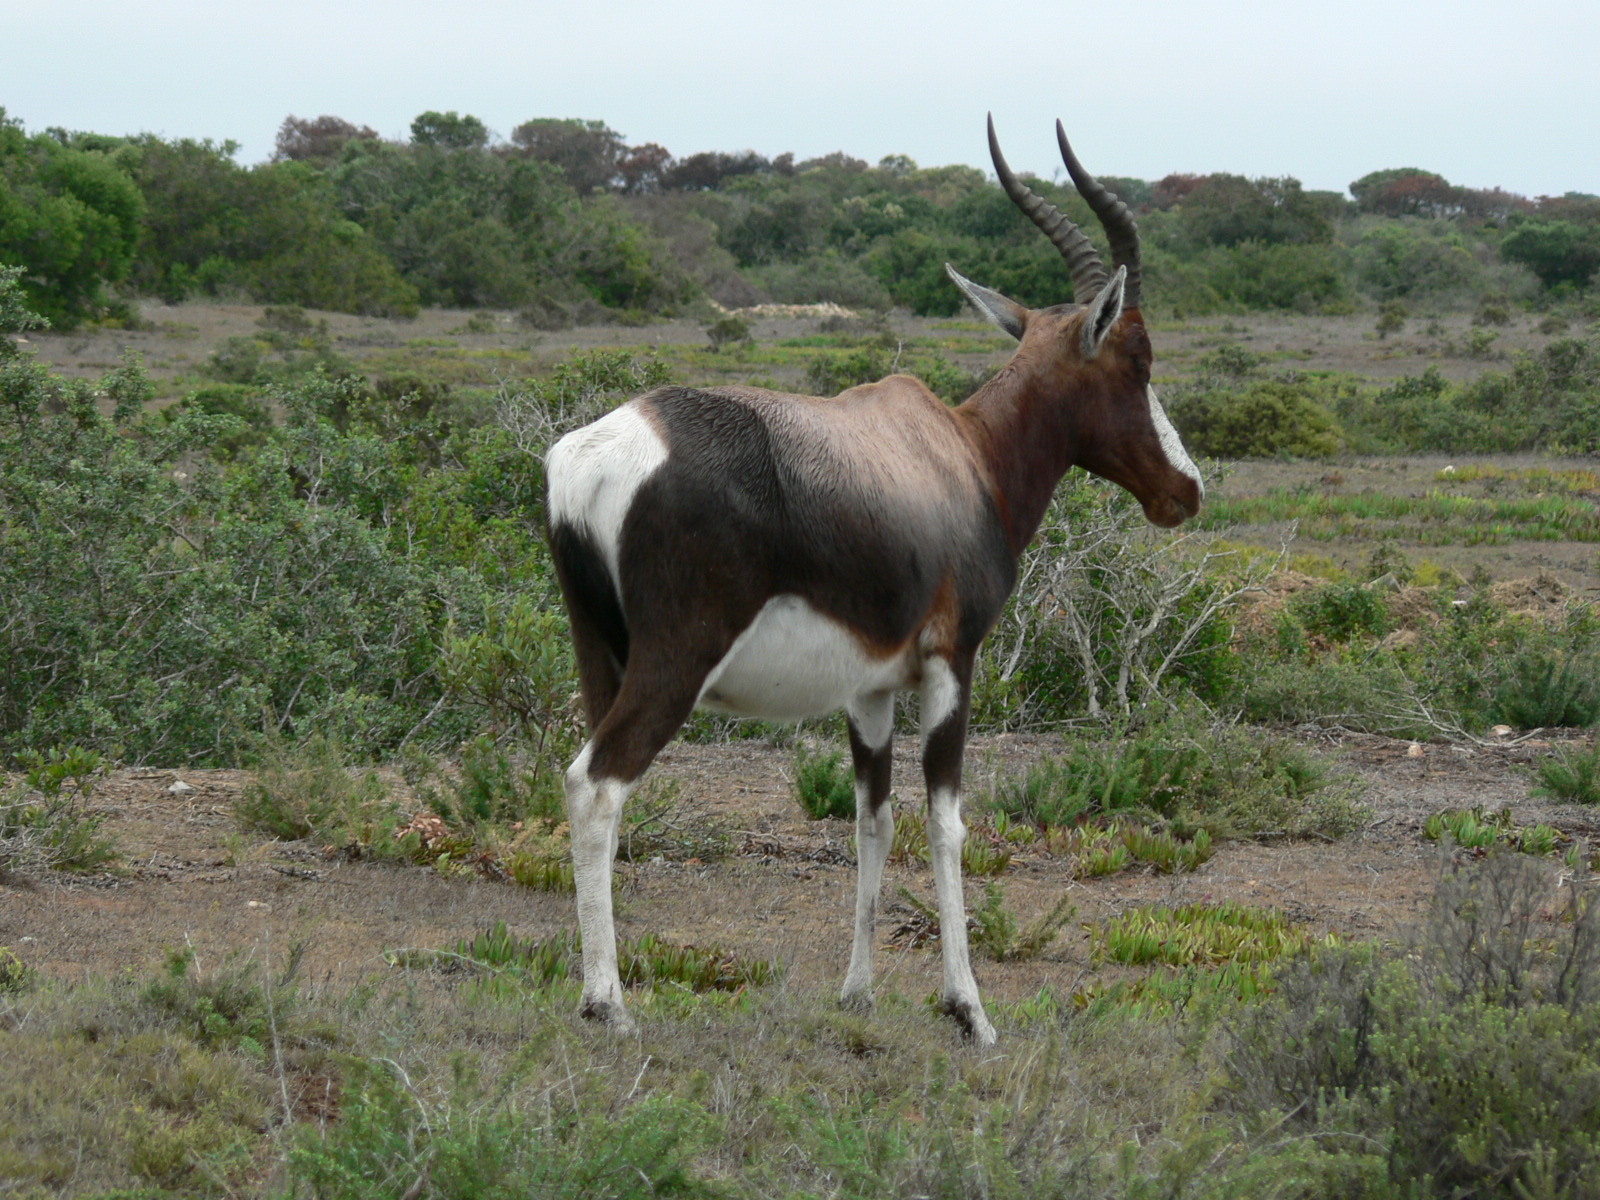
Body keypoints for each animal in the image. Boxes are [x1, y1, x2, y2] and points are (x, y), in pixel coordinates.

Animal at [547, 117, 1203, 1049]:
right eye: (1138, 357)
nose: (1186, 489)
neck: (962, 455)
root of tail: (595, 455)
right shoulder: (951, 664)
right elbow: (946, 820)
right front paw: (970, 1010)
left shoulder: (870, 687)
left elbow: (873, 818)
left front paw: (857, 992)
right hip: (673, 666)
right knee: (595, 783)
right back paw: (608, 1003)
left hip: (597, 655)